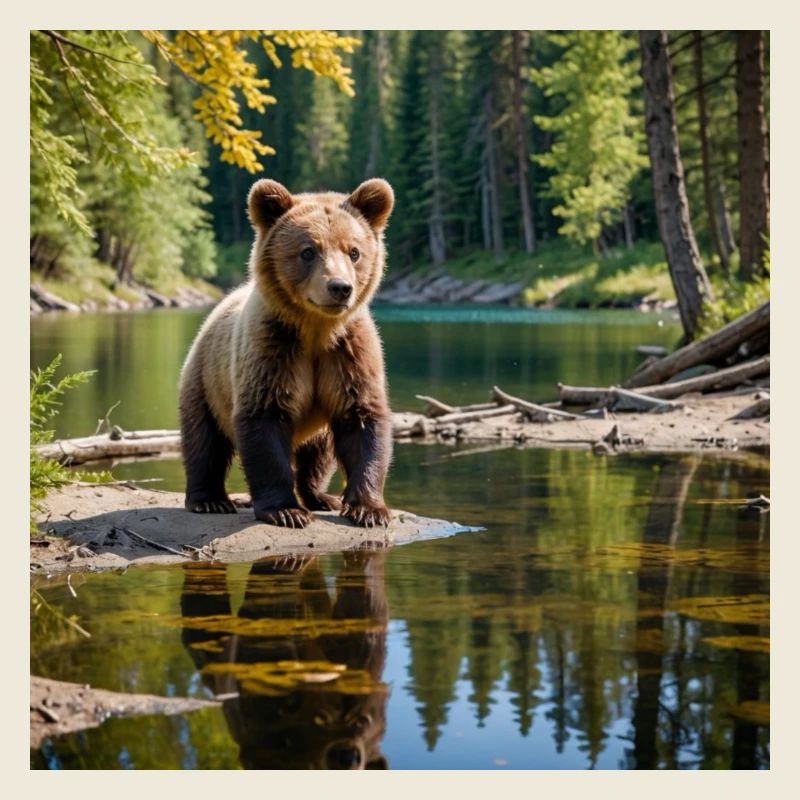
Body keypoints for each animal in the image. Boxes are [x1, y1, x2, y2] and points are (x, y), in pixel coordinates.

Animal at [178, 177, 394, 529]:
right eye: (308, 251)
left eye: (354, 251)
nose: (340, 287)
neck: (316, 330)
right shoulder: (272, 351)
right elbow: (263, 420)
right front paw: (286, 510)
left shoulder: (349, 355)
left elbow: (362, 420)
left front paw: (370, 509)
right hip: (206, 380)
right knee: (203, 439)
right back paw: (209, 499)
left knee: (319, 453)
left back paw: (321, 496)